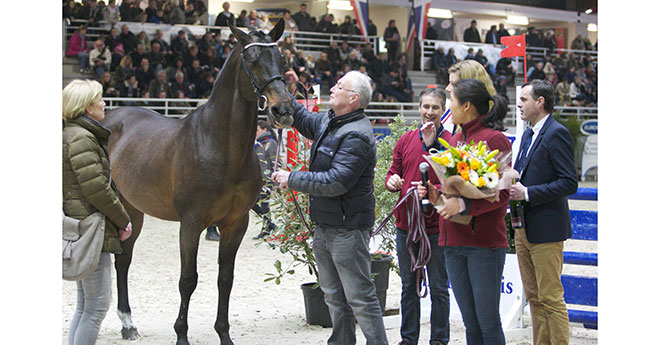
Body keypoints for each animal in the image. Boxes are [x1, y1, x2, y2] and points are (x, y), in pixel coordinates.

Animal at [100, 20, 292, 344]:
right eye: (253, 61)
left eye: (282, 59)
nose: (284, 110)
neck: (219, 147)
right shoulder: (190, 224)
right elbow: (188, 279)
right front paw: (181, 335)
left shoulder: (235, 224)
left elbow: (225, 279)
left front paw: (224, 335)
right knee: (119, 260)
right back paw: (126, 323)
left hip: (133, 210)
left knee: (124, 260)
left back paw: (128, 323)